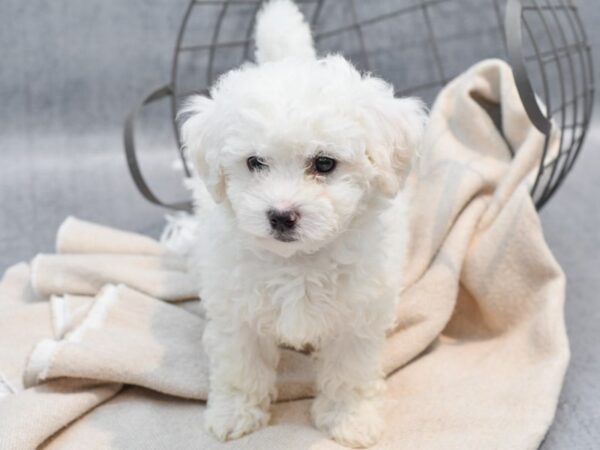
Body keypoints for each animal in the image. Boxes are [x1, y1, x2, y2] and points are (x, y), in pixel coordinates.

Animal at [179, 0, 426, 446]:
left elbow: (350, 372)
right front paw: (235, 414)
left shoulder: (359, 315)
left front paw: (349, 420)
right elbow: (240, 366)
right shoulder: (236, 310)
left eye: (324, 163)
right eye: (254, 162)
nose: (280, 215)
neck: (298, 261)